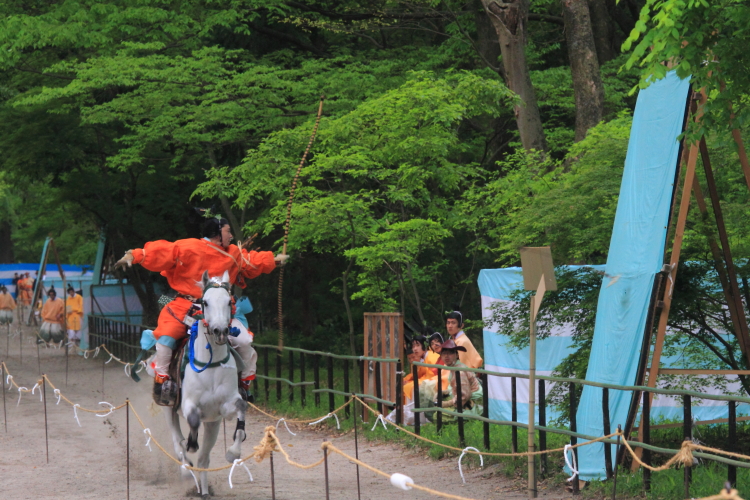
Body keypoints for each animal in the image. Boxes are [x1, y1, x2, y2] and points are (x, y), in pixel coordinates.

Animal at [164, 272, 247, 498]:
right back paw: (186, 467)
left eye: (229, 302)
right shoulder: (188, 403)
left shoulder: (225, 405)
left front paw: (233, 452)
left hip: (213, 424)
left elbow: (241, 407)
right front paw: (191, 443)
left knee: (204, 459)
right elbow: (193, 419)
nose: (220, 330)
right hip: (169, 407)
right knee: (177, 441)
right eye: (205, 302)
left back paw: (203, 490)